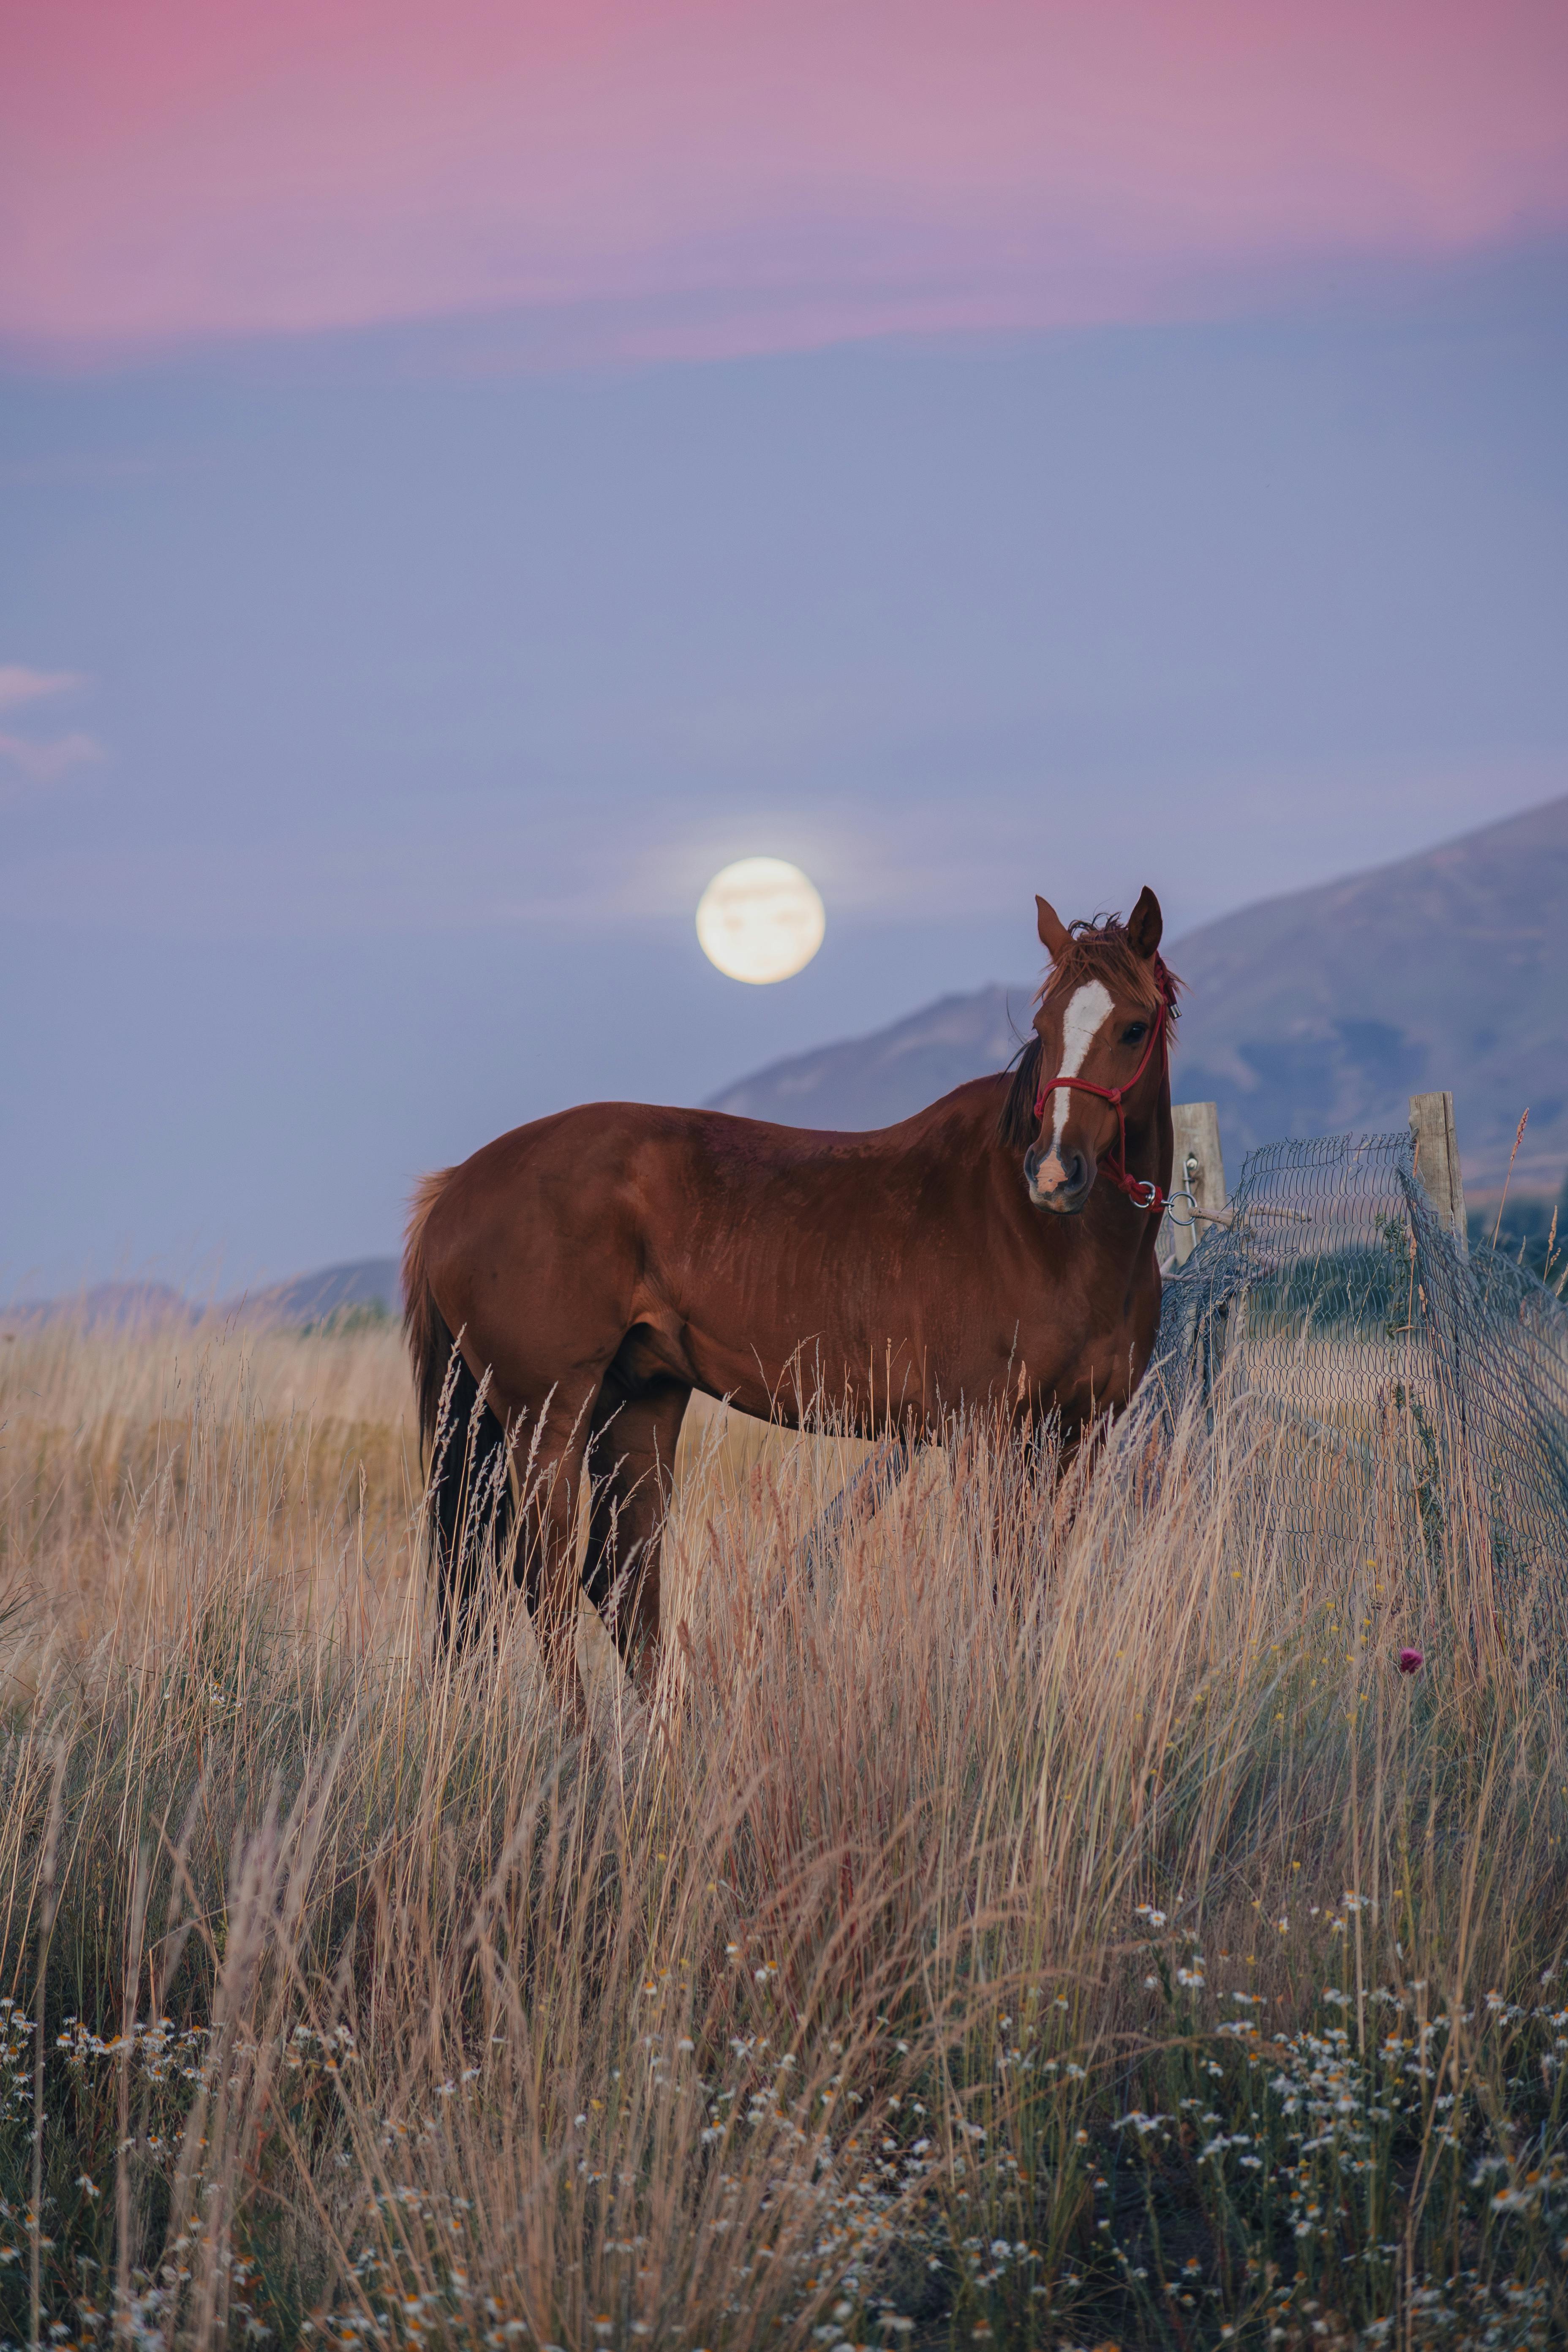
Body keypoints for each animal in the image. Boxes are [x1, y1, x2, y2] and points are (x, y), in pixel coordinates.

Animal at [403, 883, 1180, 1715]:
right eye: (1042, 1028)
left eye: (1133, 1028)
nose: (1054, 1172)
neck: (1045, 1237)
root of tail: (458, 1185)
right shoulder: (989, 1434)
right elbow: (1004, 1577)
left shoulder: (1081, 1433)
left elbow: (1042, 1577)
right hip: (546, 1415)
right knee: (538, 1577)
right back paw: (581, 1741)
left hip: (637, 1402)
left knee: (616, 1580)